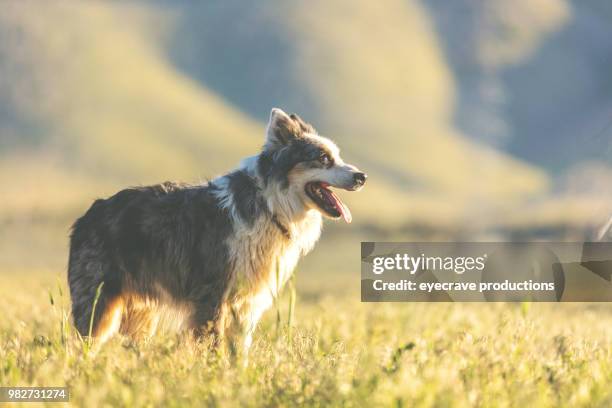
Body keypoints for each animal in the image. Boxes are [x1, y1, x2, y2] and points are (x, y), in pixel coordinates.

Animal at [68, 108, 364, 350]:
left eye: (338, 156)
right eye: (323, 158)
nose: (362, 177)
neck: (269, 205)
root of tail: (88, 214)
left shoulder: (246, 305)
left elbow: (238, 353)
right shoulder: (212, 295)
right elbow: (214, 347)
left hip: (140, 313)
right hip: (97, 304)